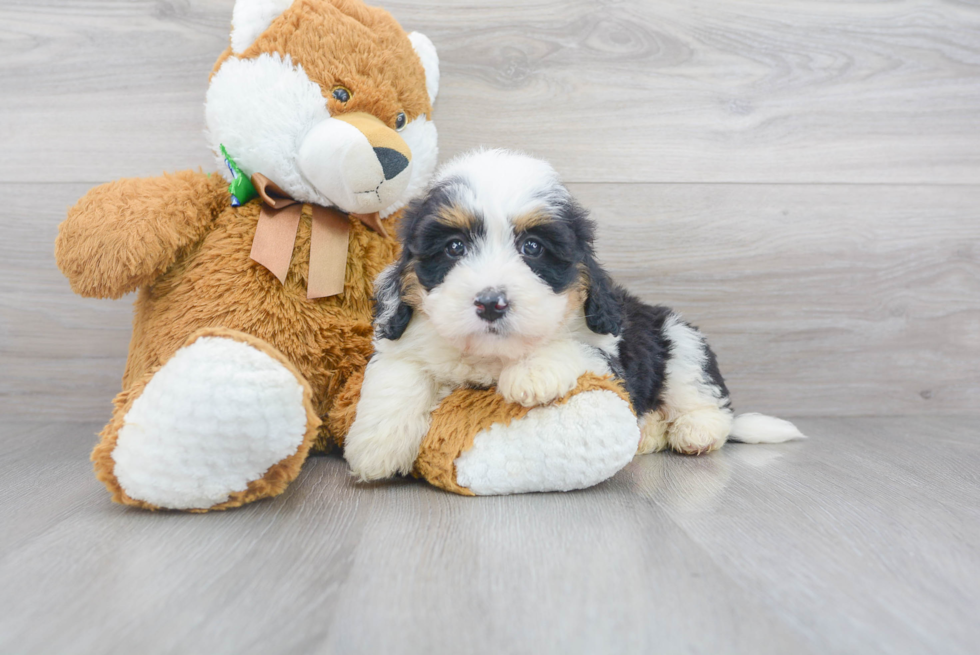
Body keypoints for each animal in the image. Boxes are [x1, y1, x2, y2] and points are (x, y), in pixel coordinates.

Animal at [344, 151, 804, 484]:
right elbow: (399, 376)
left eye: (532, 247)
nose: (491, 303)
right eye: (454, 247)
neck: (492, 355)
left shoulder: (608, 352)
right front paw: (377, 449)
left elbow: (572, 344)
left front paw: (532, 374)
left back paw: (695, 432)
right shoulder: (404, 337)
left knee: (705, 399)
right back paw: (650, 434)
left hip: (677, 338)